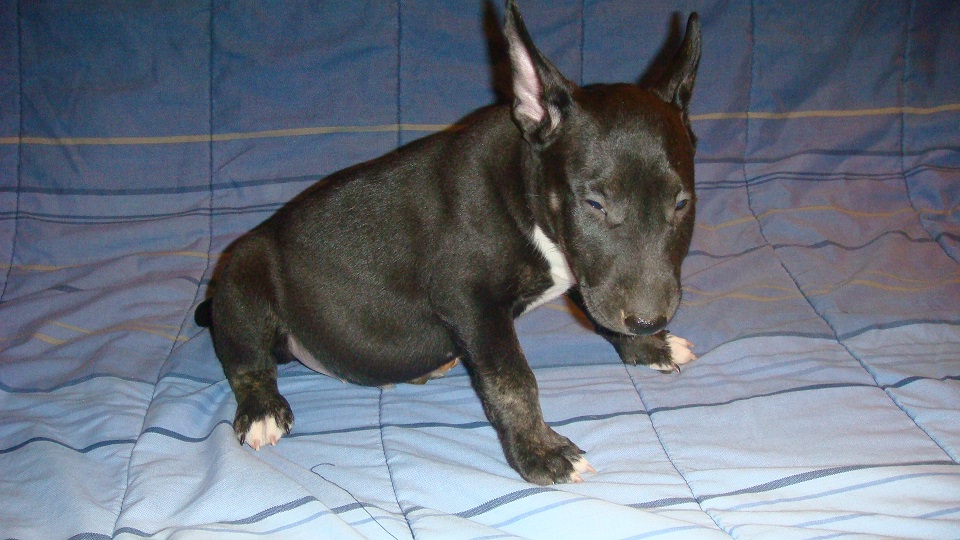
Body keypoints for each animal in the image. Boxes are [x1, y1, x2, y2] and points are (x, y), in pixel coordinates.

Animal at [195, 0, 701, 485]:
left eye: (681, 204)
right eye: (594, 204)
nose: (648, 320)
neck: (524, 188)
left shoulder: (582, 267)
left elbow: (595, 299)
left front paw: (648, 347)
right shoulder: (468, 298)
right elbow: (512, 379)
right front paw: (541, 452)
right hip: (244, 271)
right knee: (245, 360)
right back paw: (261, 410)